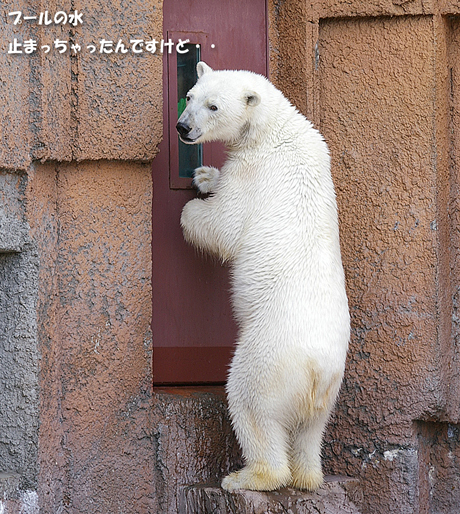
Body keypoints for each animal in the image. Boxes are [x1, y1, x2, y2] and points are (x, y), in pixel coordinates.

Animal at [178, 62, 350, 490]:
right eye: (190, 96)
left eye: (213, 106)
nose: (183, 127)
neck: (275, 128)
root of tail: (317, 373)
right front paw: (206, 175)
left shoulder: (255, 174)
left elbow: (226, 226)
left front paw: (192, 207)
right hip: (328, 395)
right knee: (309, 431)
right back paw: (307, 476)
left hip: (271, 357)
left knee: (250, 403)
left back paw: (247, 476)